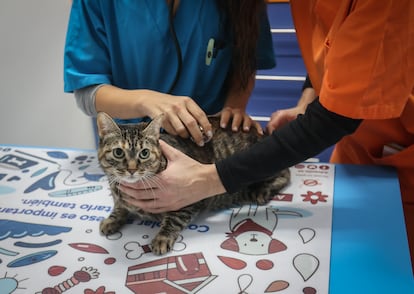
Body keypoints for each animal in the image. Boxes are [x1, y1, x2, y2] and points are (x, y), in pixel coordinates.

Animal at [97, 112, 292, 255]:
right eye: (118, 152)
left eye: (144, 153)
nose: (131, 169)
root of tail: (262, 132)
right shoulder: (118, 195)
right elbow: (119, 206)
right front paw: (111, 219)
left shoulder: (189, 200)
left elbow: (173, 219)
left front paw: (162, 238)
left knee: (286, 173)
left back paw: (263, 190)